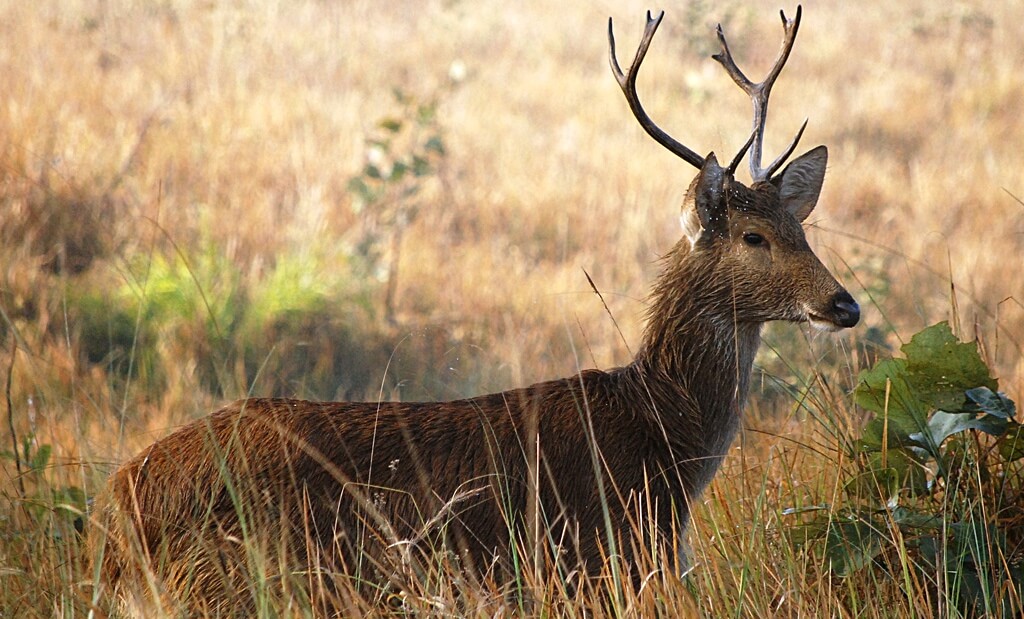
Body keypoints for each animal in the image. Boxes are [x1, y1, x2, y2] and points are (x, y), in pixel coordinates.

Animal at [92, 6, 856, 614]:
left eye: (800, 227)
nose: (843, 303)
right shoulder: (597, 561)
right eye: (754, 237)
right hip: (232, 578)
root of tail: (117, 505)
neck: (661, 438)